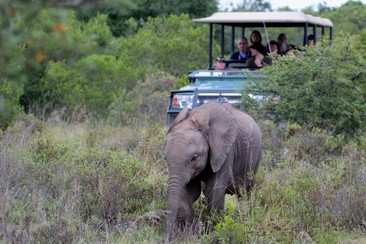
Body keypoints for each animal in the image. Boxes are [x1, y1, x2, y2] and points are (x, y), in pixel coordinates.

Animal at [164, 101, 262, 240]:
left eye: (194, 157)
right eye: (165, 158)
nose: (167, 239)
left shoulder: (225, 150)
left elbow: (213, 190)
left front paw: (213, 234)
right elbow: (190, 191)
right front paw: (190, 234)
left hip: (254, 158)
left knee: (244, 192)